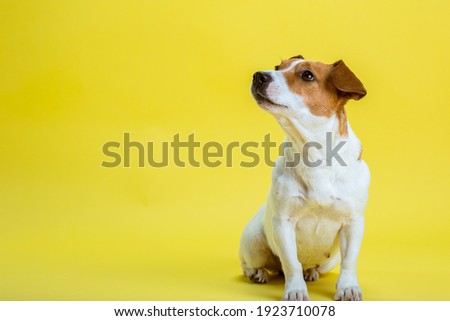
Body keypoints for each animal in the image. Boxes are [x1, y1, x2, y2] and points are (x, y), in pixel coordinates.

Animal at [239, 54, 370, 300]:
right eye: (277, 67)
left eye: (307, 75)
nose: (258, 76)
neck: (314, 154)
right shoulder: (283, 222)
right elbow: (292, 263)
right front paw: (295, 291)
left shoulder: (353, 222)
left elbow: (350, 261)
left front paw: (348, 287)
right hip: (254, 243)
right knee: (252, 264)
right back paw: (259, 273)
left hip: (330, 260)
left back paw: (311, 272)